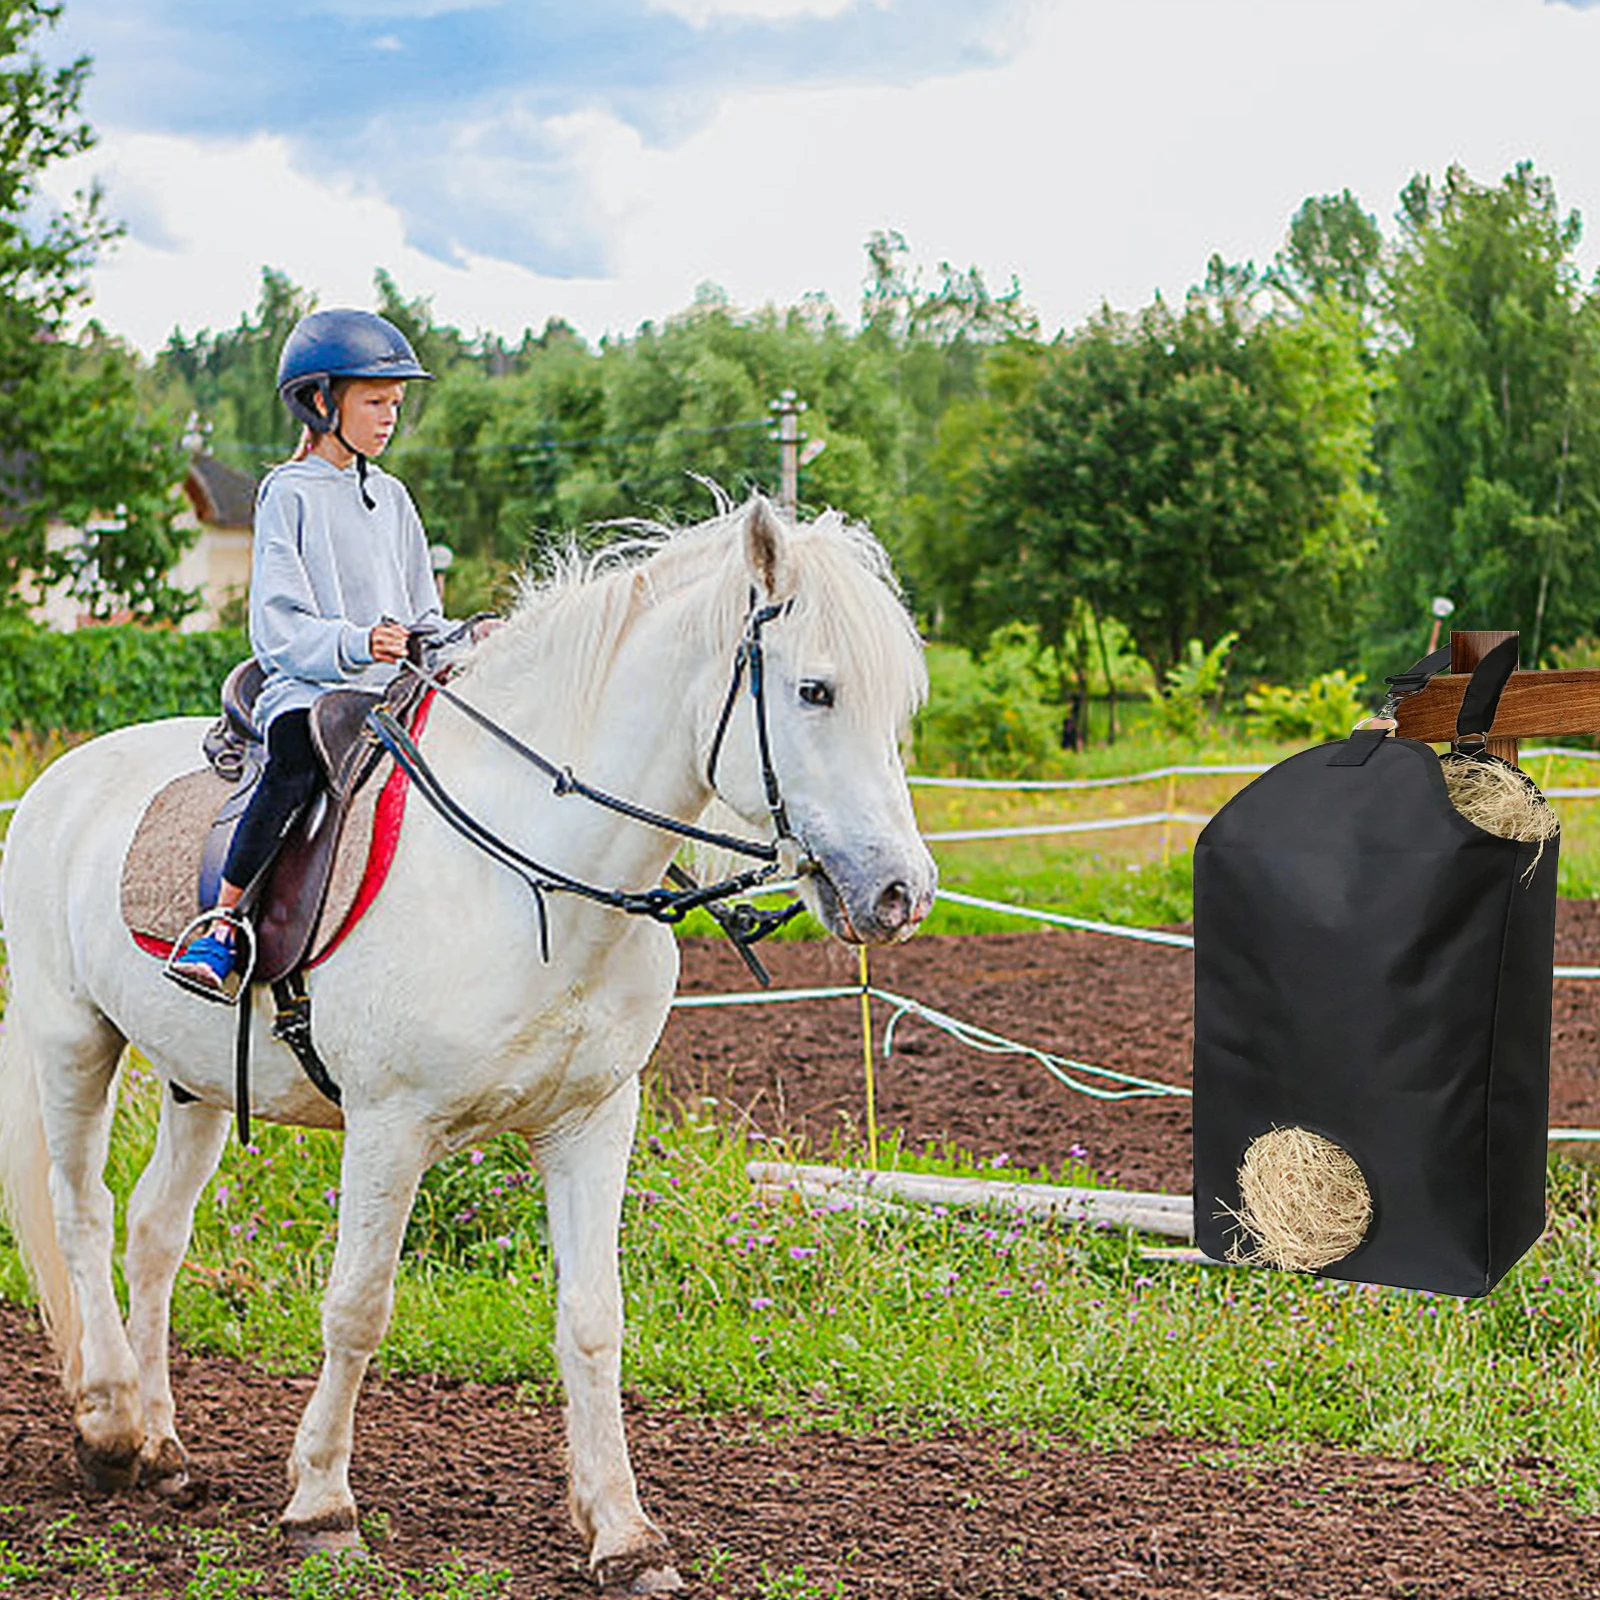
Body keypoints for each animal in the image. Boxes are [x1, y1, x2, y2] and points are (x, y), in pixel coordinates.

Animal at [0, 496, 936, 1592]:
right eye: (814, 690)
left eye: (898, 703)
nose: (900, 893)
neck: (534, 876)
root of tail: (61, 779)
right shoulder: (389, 1128)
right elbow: (357, 1306)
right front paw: (322, 1505)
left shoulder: (591, 1122)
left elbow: (594, 1318)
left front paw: (624, 1532)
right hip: (72, 1038)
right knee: (83, 1212)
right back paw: (107, 1427)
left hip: (198, 1082)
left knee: (154, 1231)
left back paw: (160, 1445)